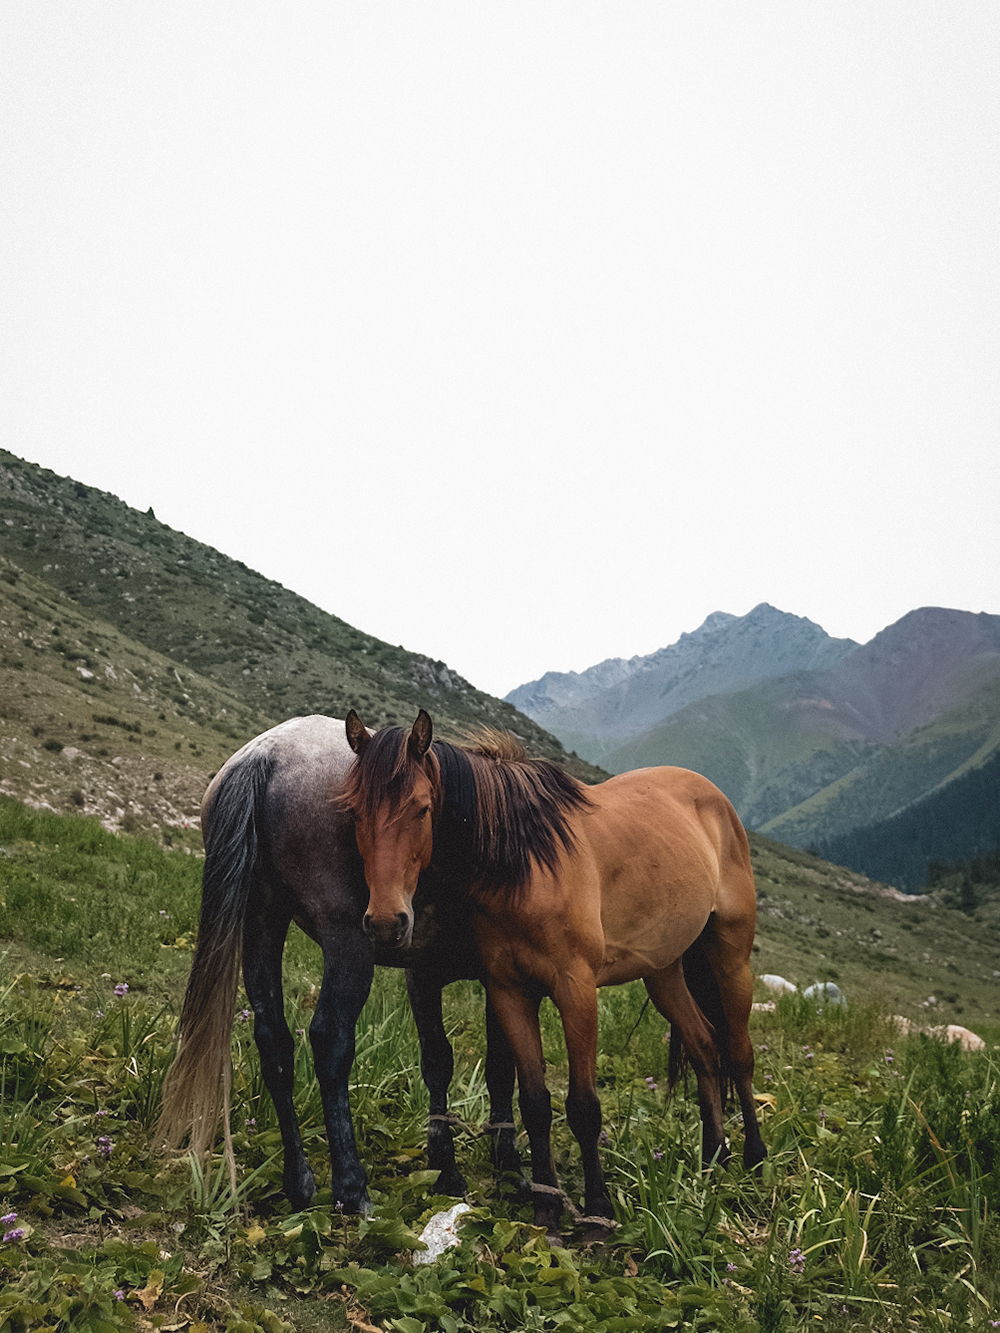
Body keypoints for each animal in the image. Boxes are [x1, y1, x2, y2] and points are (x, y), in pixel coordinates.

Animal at [154, 714, 525, 1215]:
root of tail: (267, 754)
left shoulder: (422, 974)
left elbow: (439, 1063)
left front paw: (446, 1171)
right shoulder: (496, 980)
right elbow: (501, 1068)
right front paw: (509, 1172)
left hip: (262, 922)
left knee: (274, 1041)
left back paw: (300, 1183)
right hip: (348, 944)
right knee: (330, 1040)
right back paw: (351, 1187)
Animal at [344, 709, 768, 1237]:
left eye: (422, 809)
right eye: (353, 812)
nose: (385, 923)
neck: (523, 867)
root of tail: (712, 797)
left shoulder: (576, 991)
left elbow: (583, 1107)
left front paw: (597, 1213)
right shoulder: (509, 991)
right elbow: (534, 1101)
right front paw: (545, 1204)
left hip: (731, 959)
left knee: (739, 1054)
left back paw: (754, 1158)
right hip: (664, 971)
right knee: (706, 1048)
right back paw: (714, 1158)